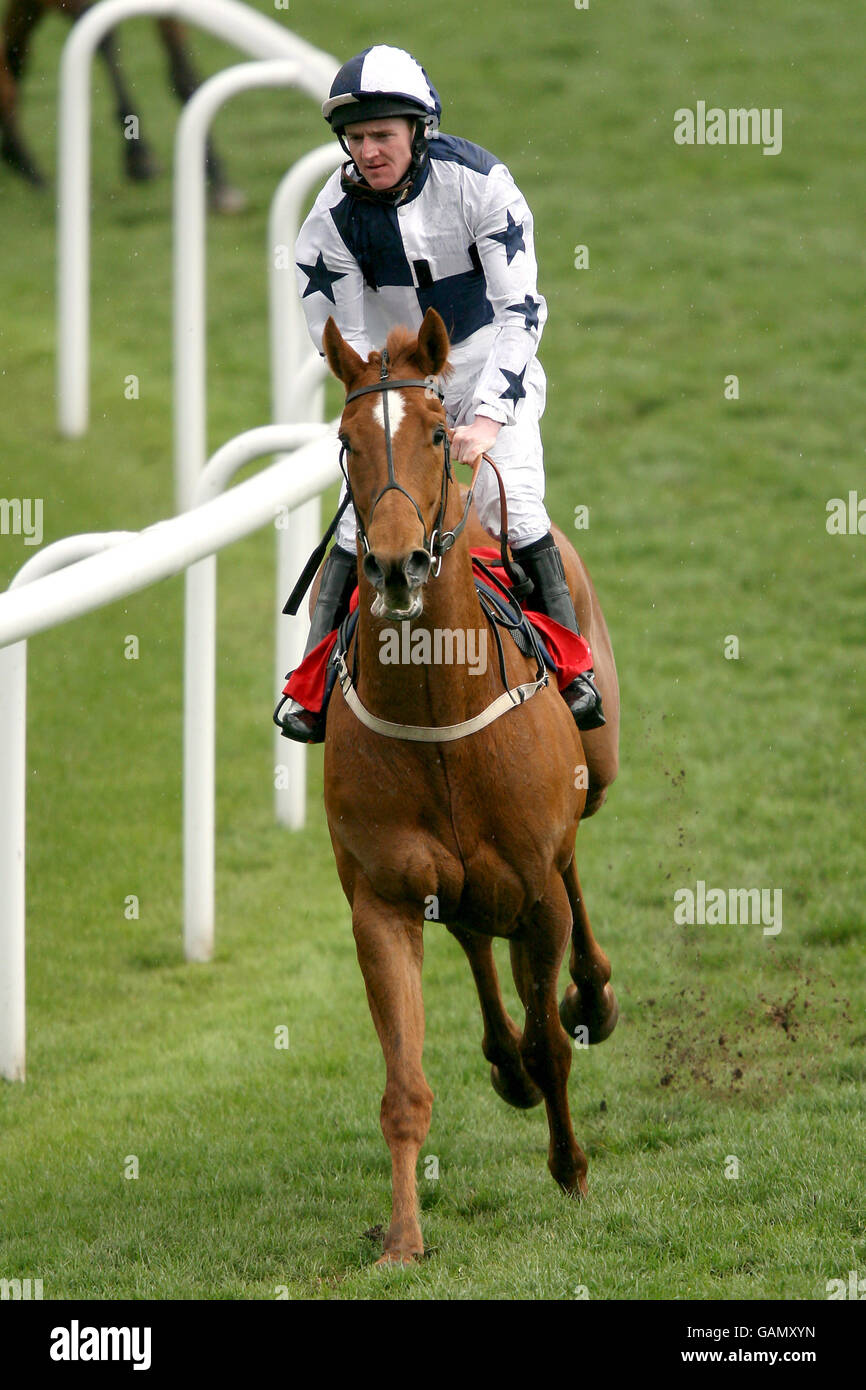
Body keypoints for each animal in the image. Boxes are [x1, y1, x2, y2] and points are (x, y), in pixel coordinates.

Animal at [0, 0, 244, 211]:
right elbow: (104, 37)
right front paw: (139, 155)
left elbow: (182, 69)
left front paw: (218, 179)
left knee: (15, 55)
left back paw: (26, 168)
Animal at [315, 309, 619, 1267]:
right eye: (345, 443)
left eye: (440, 436)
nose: (395, 566)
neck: (438, 705)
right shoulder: (379, 900)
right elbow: (404, 1086)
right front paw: (402, 1238)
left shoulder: (536, 886)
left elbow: (555, 1041)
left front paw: (571, 1170)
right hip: (454, 883)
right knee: (475, 933)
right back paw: (504, 1058)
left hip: (595, 778)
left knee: (573, 872)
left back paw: (592, 994)